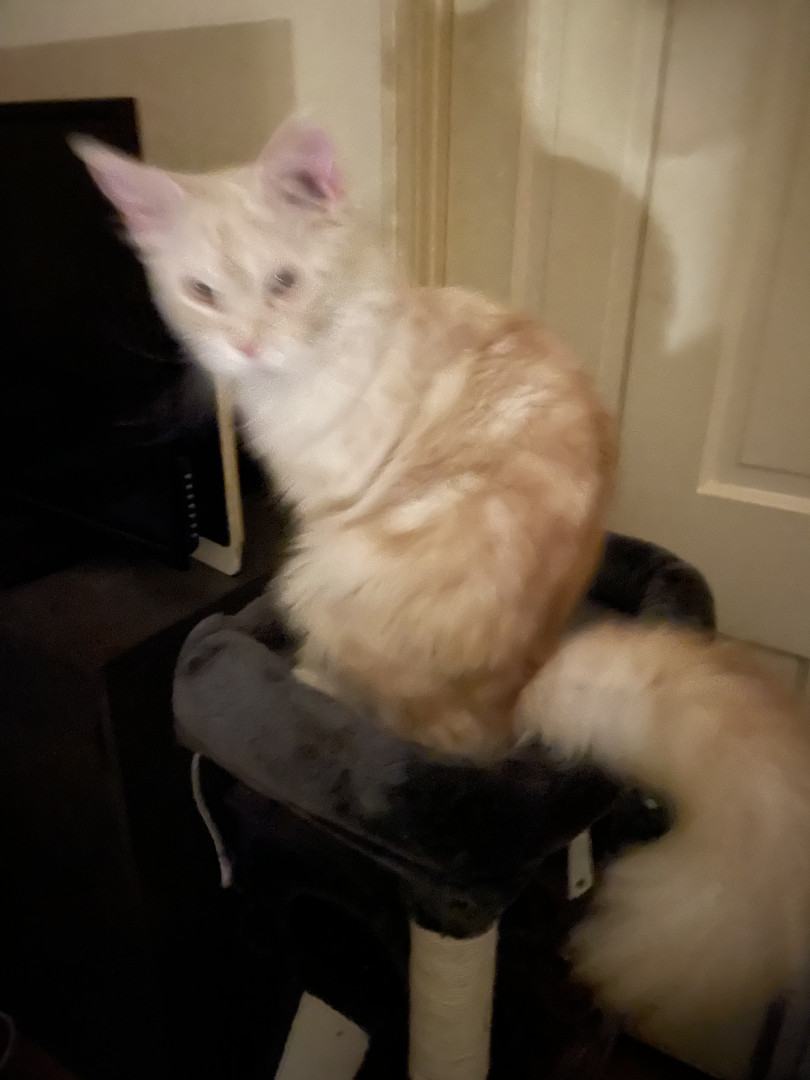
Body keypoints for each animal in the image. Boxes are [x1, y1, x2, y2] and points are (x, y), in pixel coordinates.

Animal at [71, 118, 616, 755]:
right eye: (201, 293)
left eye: (283, 282)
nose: (246, 346)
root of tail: (509, 713)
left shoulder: (329, 498)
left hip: (322, 571)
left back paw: (312, 678)